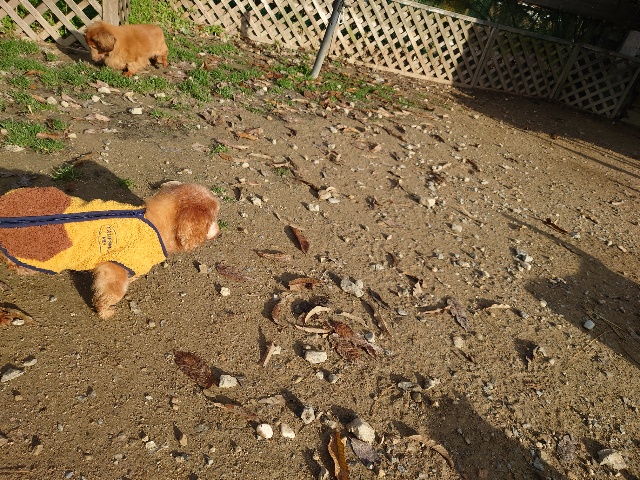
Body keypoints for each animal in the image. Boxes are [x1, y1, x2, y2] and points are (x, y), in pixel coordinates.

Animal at [0, 182, 220, 319]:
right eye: (213, 219)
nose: (220, 233)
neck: (153, 225)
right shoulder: (113, 269)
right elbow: (110, 293)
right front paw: (104, 312)